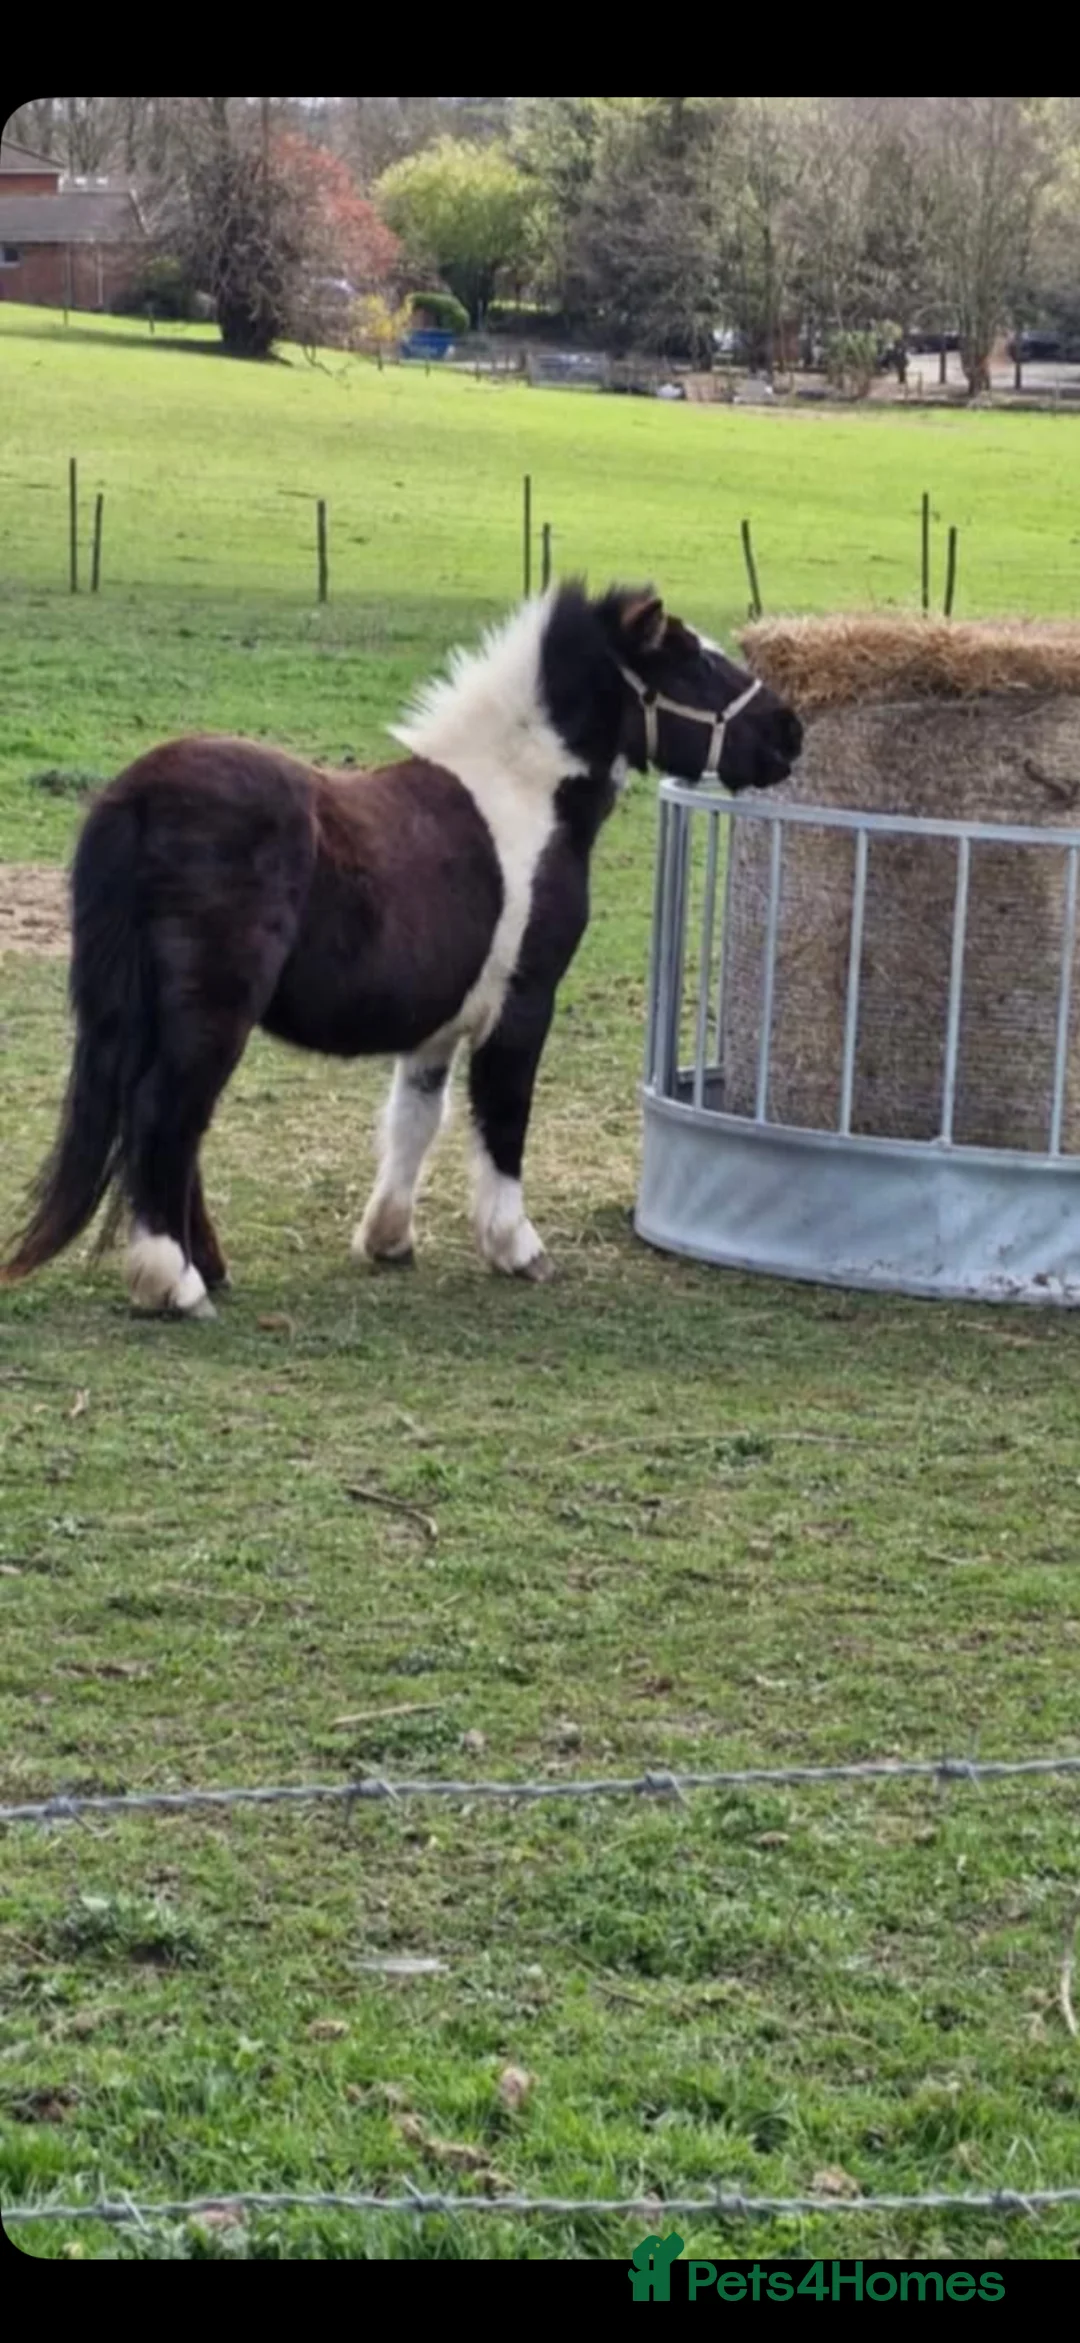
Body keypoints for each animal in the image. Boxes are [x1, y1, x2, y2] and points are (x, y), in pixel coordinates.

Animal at [1, 582, 802, 1317]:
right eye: (692, 659)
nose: (789, 730)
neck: (522, 795)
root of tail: (135, 794)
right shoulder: (523, 1006)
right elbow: (503, 1117)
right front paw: (516, 1247)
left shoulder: (436, 1025)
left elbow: (417, 1119)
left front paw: (387, 1240)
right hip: (211, 1012)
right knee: (165, 1116)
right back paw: (175, 1282)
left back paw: (209, 1267)